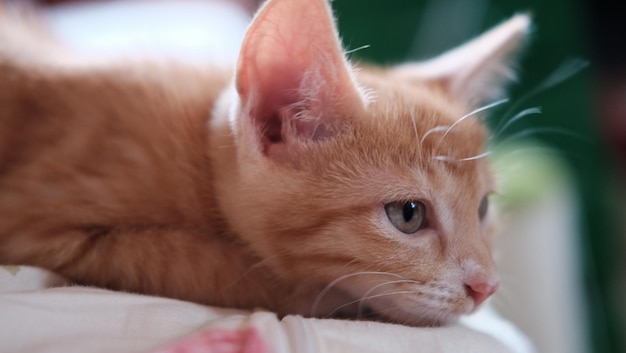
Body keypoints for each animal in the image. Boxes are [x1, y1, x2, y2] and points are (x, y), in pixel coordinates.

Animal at [0, 0, 528, 326]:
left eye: (483, 208)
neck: (198, 153)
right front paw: (332, 300)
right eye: (408, 215)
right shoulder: (41, 226)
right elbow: (225, 270)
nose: (488, 287)